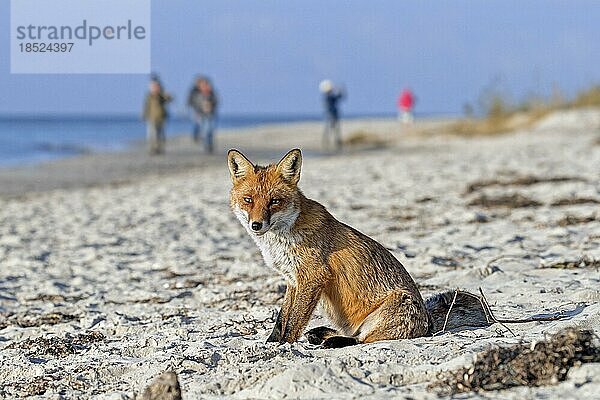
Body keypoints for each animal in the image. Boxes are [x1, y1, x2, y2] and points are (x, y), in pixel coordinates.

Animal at [227, 149, 528, 346]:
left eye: (274, 201)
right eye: (248, 200)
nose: (256, 225)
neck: (280, 241)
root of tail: (429, 323)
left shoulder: (313, 277)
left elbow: (293, 322)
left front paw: (282, 349)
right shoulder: (293, 280)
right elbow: (282, 319)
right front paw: (271, 343)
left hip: (389, 309)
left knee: (364, 340)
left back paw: (331, 342)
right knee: (356, 335)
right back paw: (323, 335)